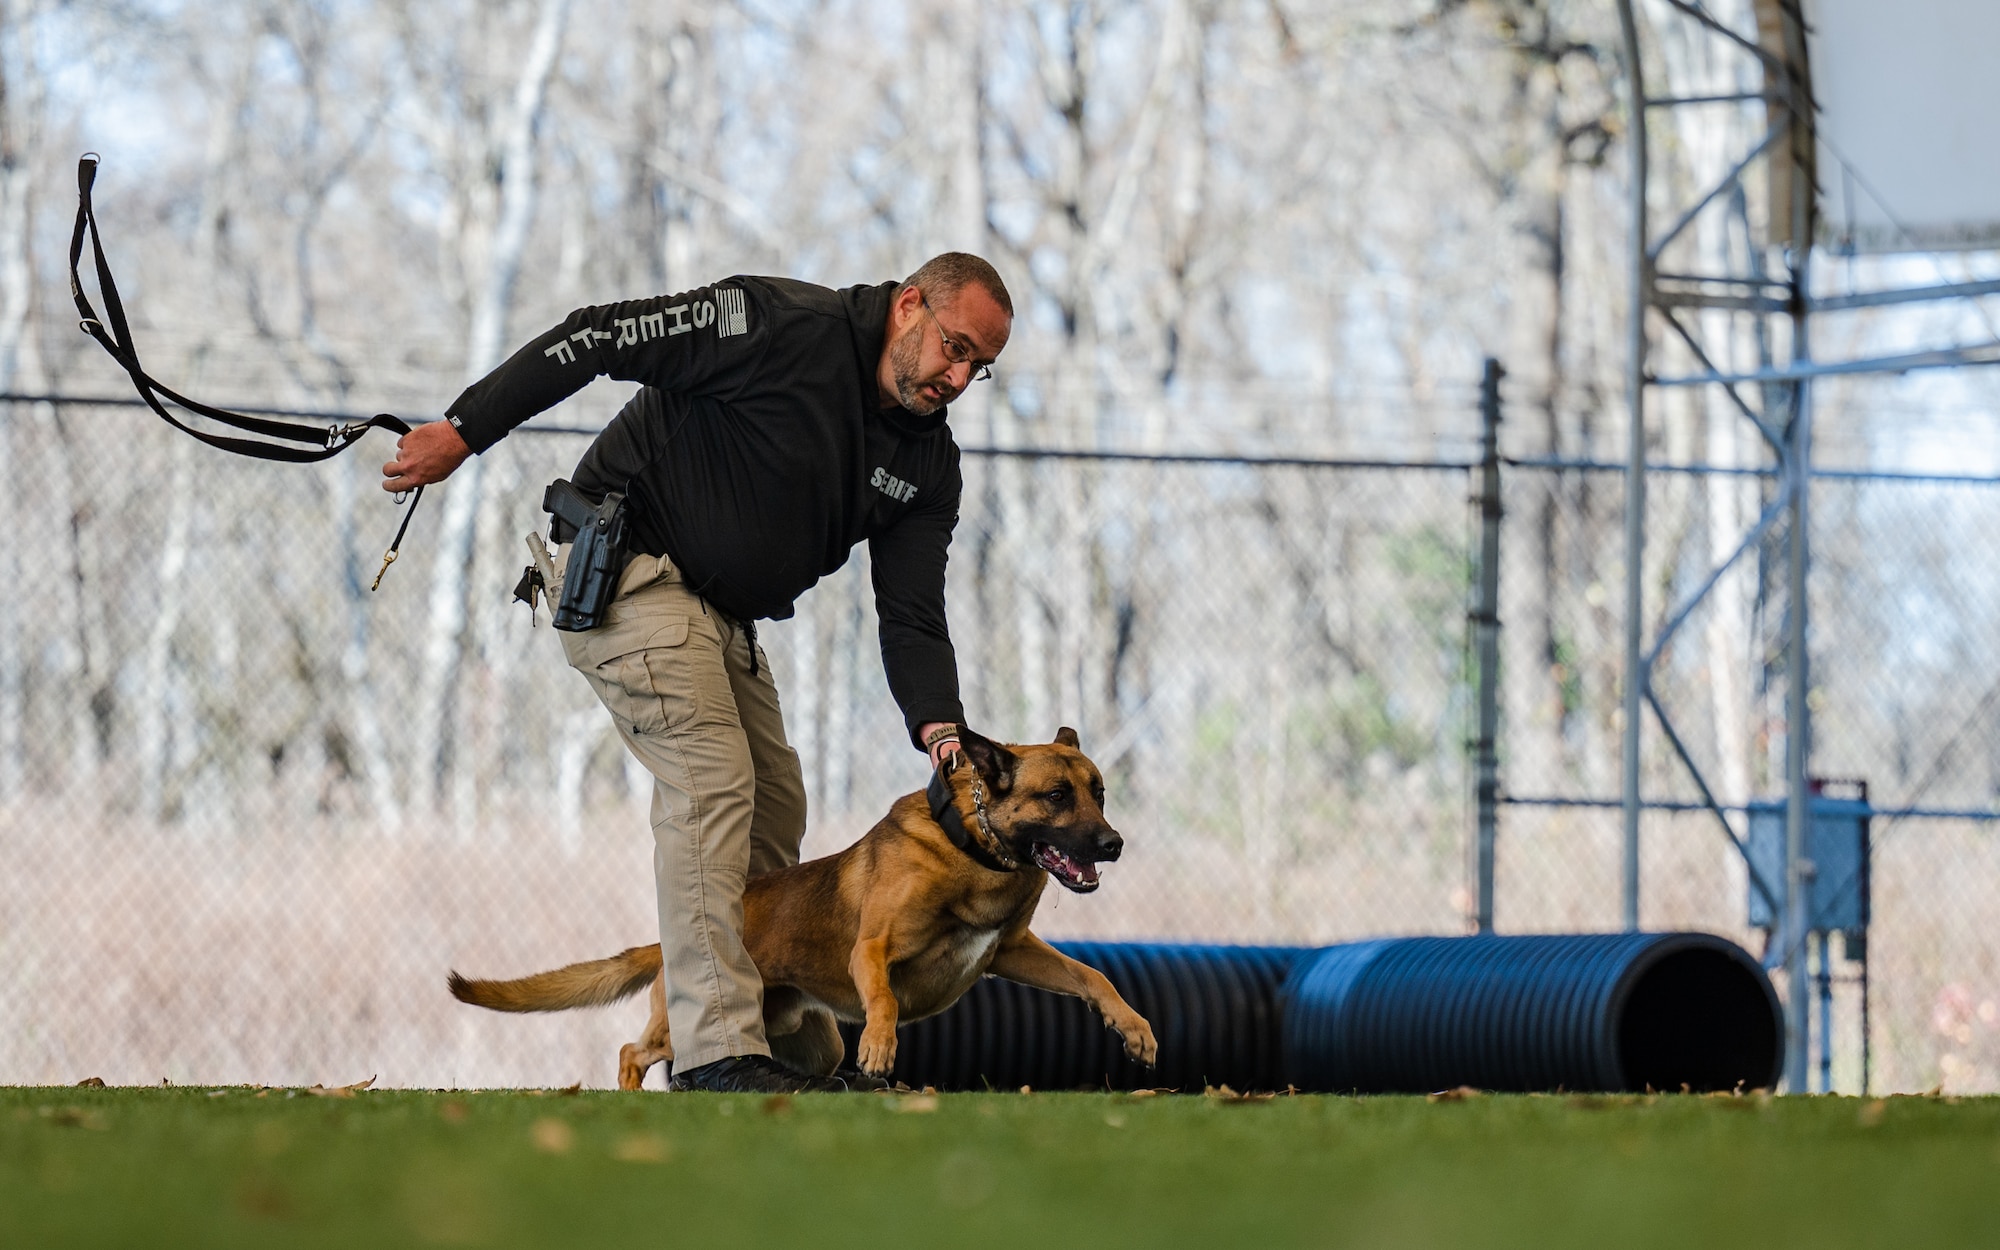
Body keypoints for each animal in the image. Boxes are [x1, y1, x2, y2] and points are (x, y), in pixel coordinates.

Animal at [444, 728, 1152, 1088]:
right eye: (1057, 796)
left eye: (1099, 792)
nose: (1115, 844)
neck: (972, 848)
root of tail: (667, 941)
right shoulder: (873, 950)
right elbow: (884, 999)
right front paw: (881, 1049)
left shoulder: (1013, 951)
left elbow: (1093, 975)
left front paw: (1135, 1028)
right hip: (683, 1026)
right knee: (630, 1052)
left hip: (802, 1039)